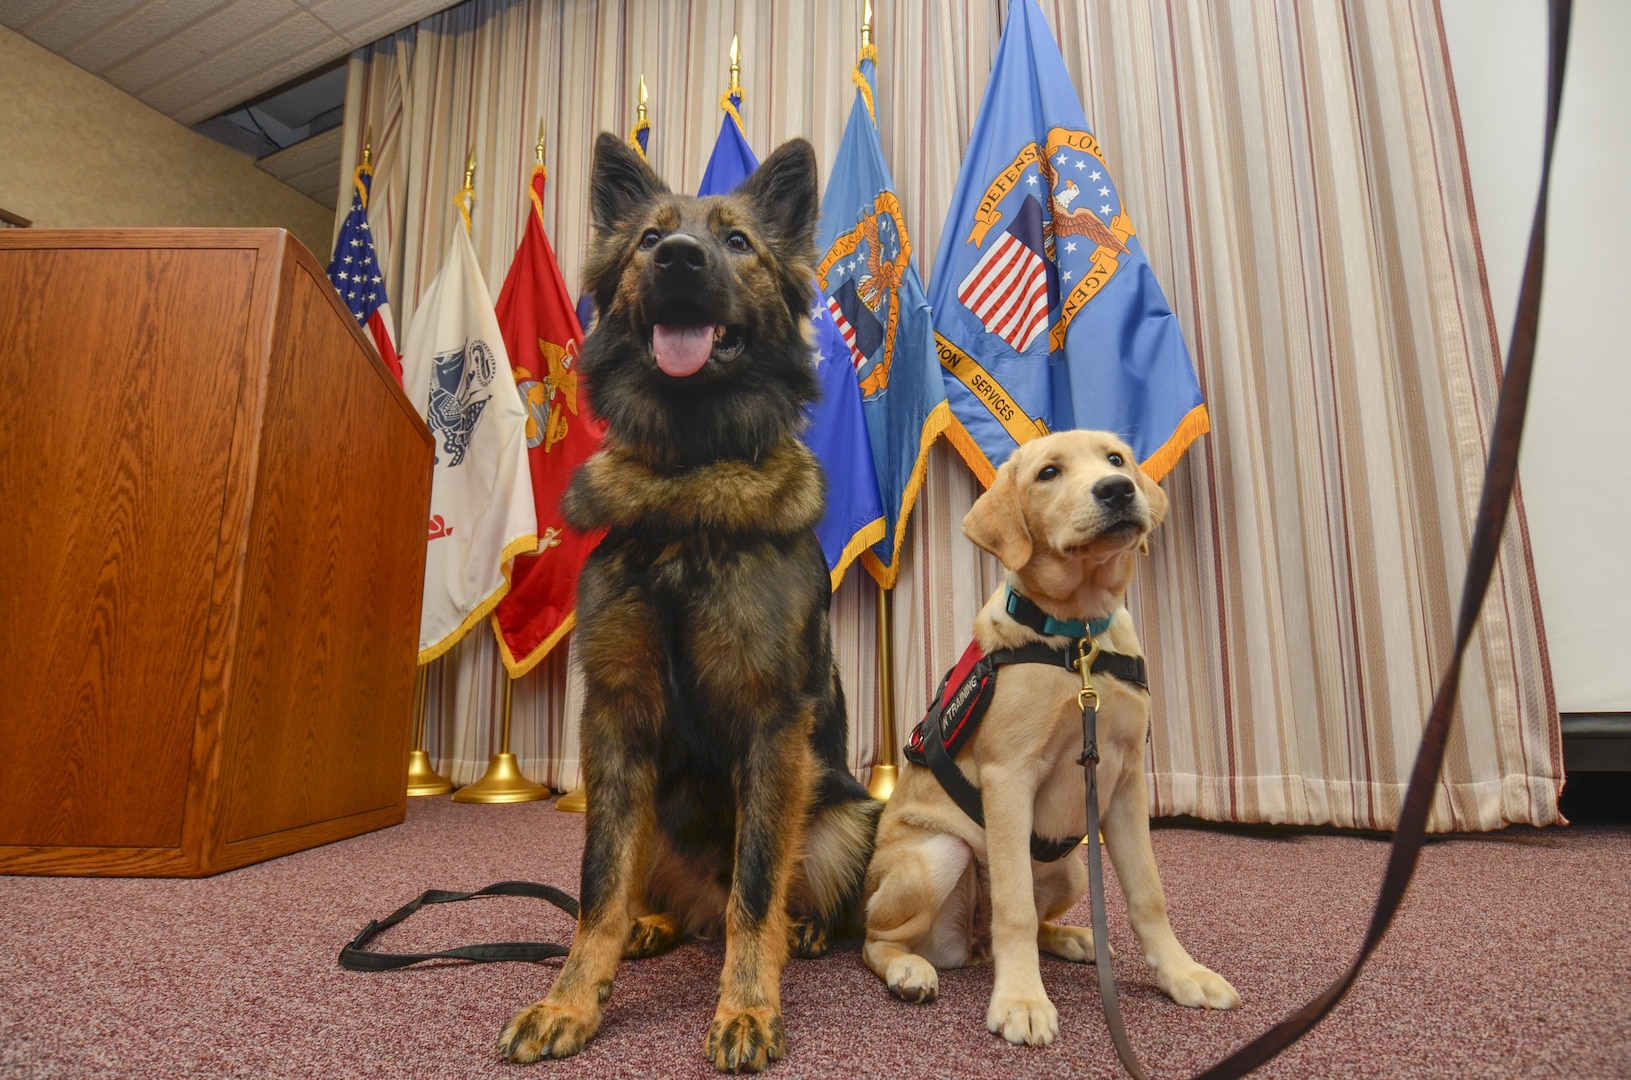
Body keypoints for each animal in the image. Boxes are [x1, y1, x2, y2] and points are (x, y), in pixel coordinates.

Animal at [495, 135, 880, 1076]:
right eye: (649, 238)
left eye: (736, 241)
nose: (677, 258)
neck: (687, 481)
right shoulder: (615, 720)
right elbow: (597, 886)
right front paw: (571, 999)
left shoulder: (772, 728)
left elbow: (756, 890)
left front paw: (746, 1006)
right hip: (648, 806)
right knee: (656, 892)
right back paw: (653, 925)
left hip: (847, 812)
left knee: (769, 896)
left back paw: (801, 930)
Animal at [861, 430, 1226, 1050]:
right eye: (1048, 473)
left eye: (1116, 459)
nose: (1117, 489)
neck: (1079, 638)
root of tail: (972, 946)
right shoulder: (1009, 777)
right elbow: (1013, 907)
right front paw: (1022, 1001)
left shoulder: (1126, 782)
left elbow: (1148, 893)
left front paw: (1183, 974)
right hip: (940, 854)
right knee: (878, 938)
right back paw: (911, 969)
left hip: (1072, 867)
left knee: (1030, 925)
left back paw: (1074, 938)